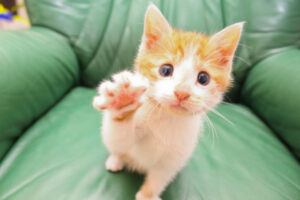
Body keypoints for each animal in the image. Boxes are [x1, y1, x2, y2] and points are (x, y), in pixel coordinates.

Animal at [92, 3, 243, 200]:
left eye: (203, 78)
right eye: (165, 70)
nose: (182, 93)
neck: (166, 119)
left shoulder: (175, 156)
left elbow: (159, 176)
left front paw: (147, 195)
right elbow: (120, 140)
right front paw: (122, 99)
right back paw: (115, 160)